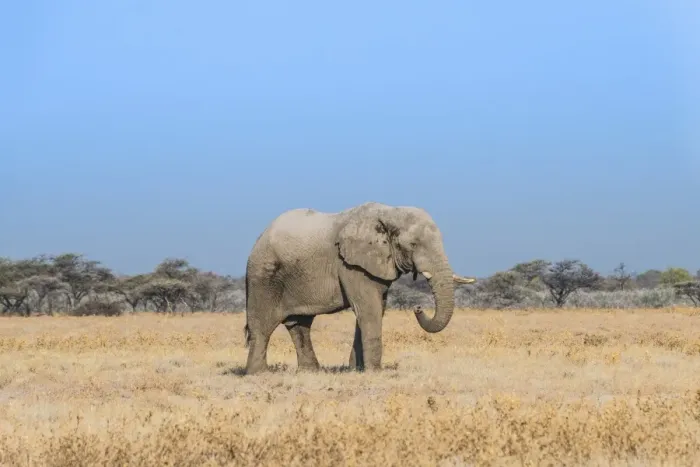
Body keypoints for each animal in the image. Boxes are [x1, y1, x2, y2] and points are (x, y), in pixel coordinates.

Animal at [242, 201, 475, 375]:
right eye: (413, 245)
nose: (417, 307)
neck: (389, 212)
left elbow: (374, 309)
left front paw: (356, 370)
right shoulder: (350, 265)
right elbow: (368, 309)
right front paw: (375, 372)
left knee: (300, 325)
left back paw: (310, 372)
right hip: (263, 277)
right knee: (262, 325)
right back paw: (258, 374)